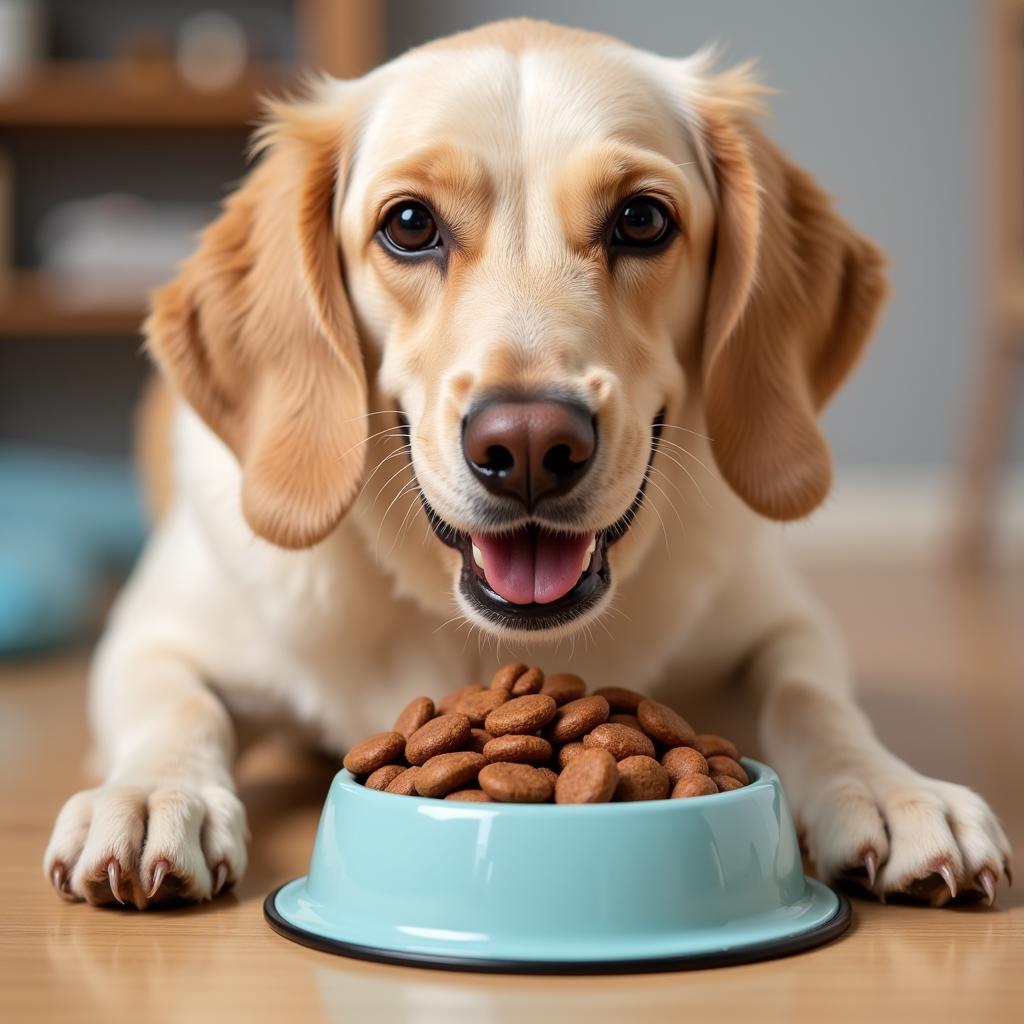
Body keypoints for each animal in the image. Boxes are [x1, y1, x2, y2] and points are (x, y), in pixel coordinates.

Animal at [41, 22, 1007, 905]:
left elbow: (810, 696)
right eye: (409, 224)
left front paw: (889, 787)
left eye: (642, 219)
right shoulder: (153, 635)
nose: (533, 447)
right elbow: (178, 706)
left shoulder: (782, 624)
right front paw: (152, 794)